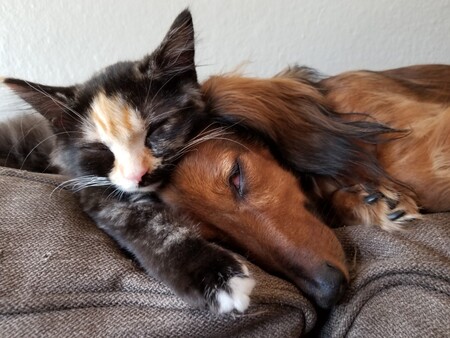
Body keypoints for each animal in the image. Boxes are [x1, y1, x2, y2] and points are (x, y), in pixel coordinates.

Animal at [0, 8, 255, 314]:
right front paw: (218, 277)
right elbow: (155, 227)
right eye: (99, 149)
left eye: (157, 128)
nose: (137, 175)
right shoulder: (96, 191)